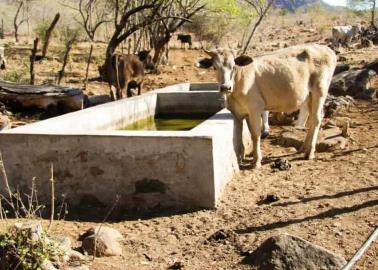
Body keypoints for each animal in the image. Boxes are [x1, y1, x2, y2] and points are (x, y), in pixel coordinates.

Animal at [202, 43, 336, 168]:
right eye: (214, 67)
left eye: (233, 66)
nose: (225, 87)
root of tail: (326, 48)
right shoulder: (239, 113)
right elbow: (242, 134)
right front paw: (246, 156)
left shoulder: (255, 108)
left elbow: (255, 134)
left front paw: (256, 161)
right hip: (309, 96)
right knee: (313, 117)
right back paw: (303, 148)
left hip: (320, 90)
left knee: (316, 118)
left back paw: (309, 153)